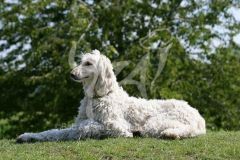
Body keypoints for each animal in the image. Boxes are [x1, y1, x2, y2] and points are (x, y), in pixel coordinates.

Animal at [15, 50, 205, 142]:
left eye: (88, 63)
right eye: (81, 62)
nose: (71, 74)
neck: (99, 96)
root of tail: (199, 117)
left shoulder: (118, 127)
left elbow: (87, 126)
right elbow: (54, 133)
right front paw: (28, 136)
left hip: (156, 123)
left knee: (187, 131)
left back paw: (170, 134)